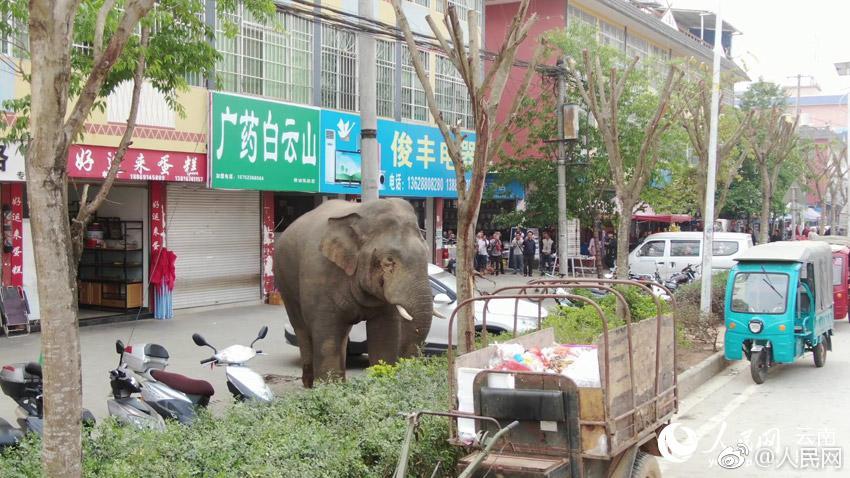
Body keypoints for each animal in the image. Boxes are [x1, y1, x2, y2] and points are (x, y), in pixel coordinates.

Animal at [274, 198, 434, 388]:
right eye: (388, 261)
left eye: (427, 255)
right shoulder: (319, 273)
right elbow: (327, 332)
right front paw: (330, 389)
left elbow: (385, 332)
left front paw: (381, 381)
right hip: (284, 282)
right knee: (302, 329)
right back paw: (309, 384)